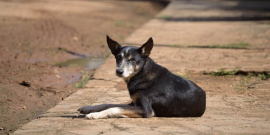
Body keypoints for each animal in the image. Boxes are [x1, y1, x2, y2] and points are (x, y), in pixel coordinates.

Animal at [77, 35, 206, 119]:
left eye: (132, 60)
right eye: (118, 58)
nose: (119, 71)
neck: (141, 75)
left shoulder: (146, 110)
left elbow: (114, 108)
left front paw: (95, 114)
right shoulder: (133, 103)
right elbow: (108, 104)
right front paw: (88, 108)